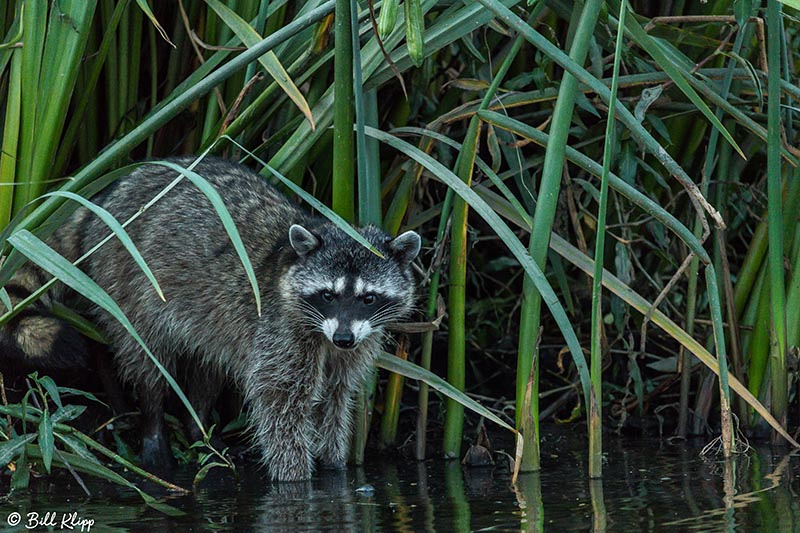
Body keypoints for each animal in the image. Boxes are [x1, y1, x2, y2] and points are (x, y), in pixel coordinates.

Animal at [0, 156, 422, 480]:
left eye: (368, 298)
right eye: (328, 295)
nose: (344, 339)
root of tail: (107, 197)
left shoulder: (354, 342)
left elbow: (335, 399)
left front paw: (335, 466)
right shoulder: (282, 332)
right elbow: (279, 404)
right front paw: (295, 479)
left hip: (208, 318)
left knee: (208, 366)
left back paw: (199, 427)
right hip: (126, 281)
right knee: (148, 361)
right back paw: (154, 427)